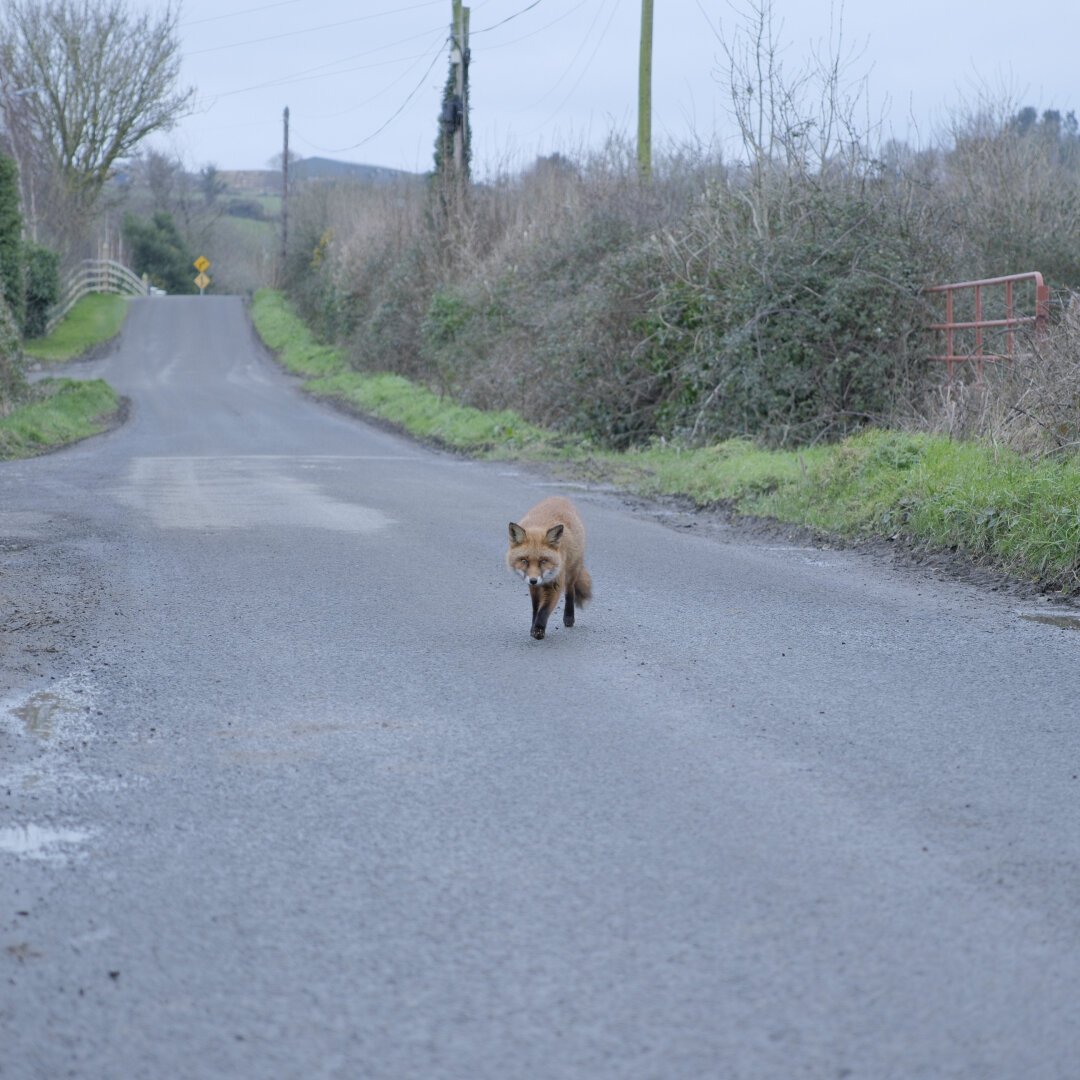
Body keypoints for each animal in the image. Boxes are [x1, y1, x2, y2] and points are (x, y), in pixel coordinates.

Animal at [503, 496, 591, 639]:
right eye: (524, 560)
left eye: (543, 561)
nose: (533, 580)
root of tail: (559, 497)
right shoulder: (533, 588)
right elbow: (536, 608)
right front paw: (533, 627)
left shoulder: (555, 583)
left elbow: (544, 610)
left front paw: (538, 630)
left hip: (571, 570)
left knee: (570, 591)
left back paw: (569, 617)